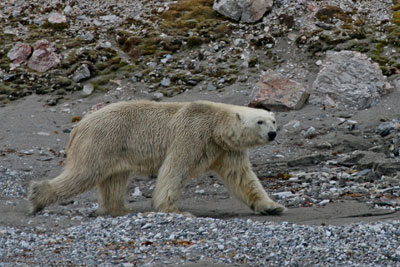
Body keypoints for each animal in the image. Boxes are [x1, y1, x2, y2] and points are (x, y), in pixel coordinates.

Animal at [28, 101, 284, 218]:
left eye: (273, 121)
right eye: (259, 121)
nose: (273, 134)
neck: (216, 125)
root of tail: (79, 126)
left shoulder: (226, 149)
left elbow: (242, 177)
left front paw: (272, 206)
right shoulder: (193, 135)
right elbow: (174, 169)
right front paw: (175, 210)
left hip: (116, 149)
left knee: (114, 179)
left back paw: (120, 209)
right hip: (102, 141)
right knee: (84, 173)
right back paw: (37, 198)